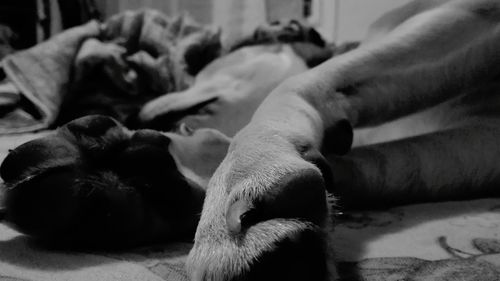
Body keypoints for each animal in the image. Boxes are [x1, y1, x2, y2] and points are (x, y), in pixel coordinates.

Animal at [2, 0, 500, 278]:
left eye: (205, 64)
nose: (134, 111)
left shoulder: (472, 15)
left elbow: (291, 91)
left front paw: (245, 174)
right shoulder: (477, 143)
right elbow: (375, 166)